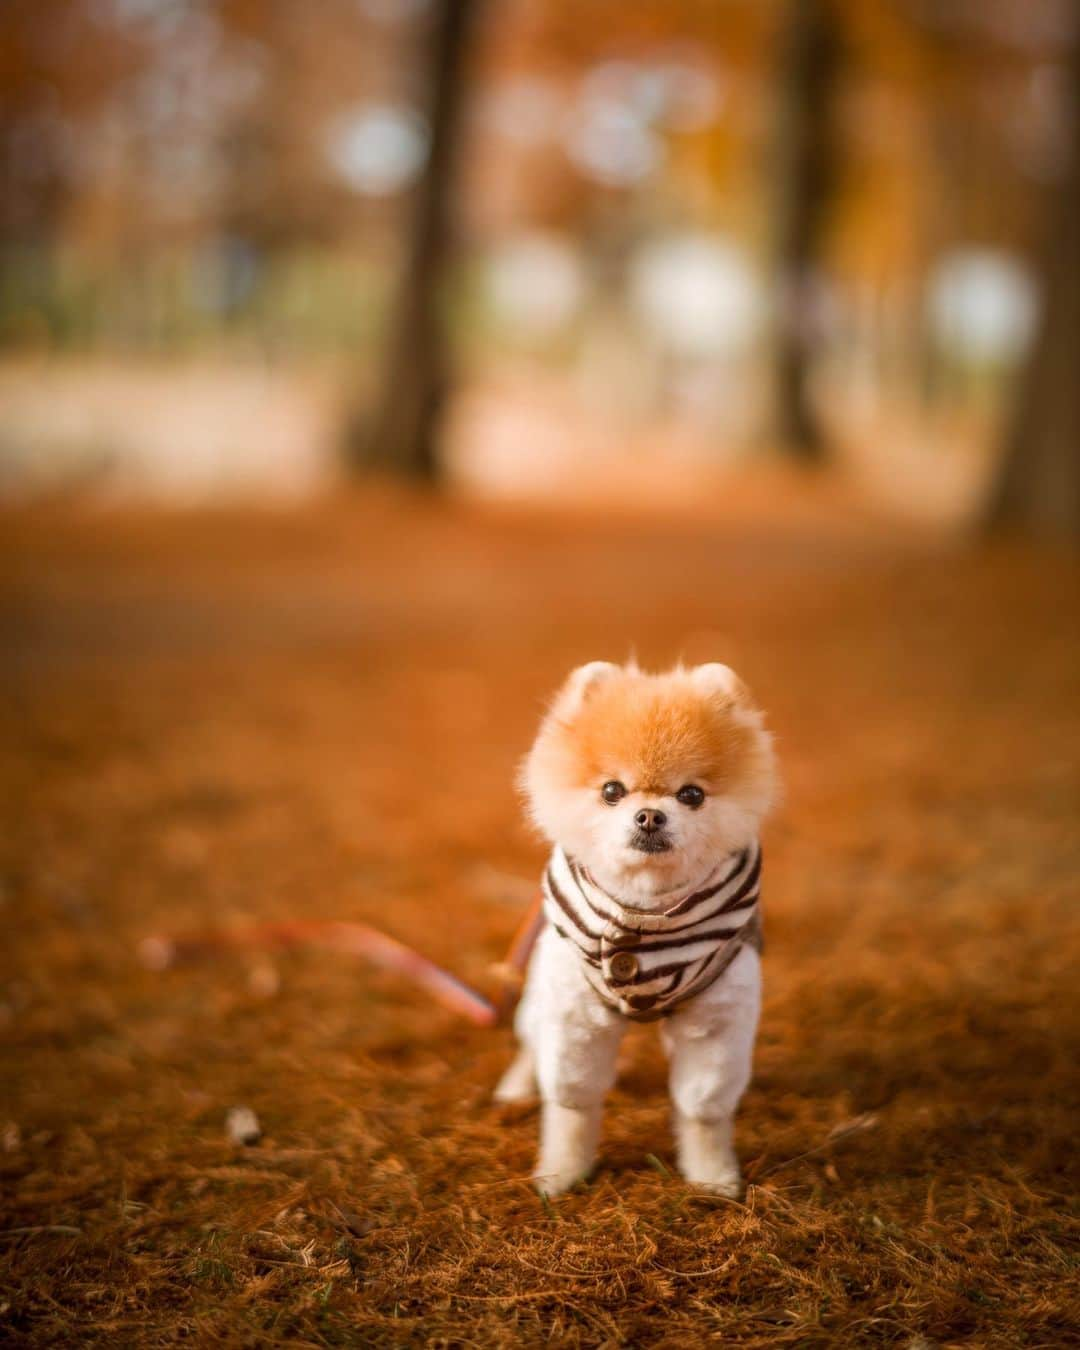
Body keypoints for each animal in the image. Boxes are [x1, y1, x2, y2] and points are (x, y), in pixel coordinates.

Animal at [496, 658, 777, 1198]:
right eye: (612, 791)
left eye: (691, 795)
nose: (649, 815)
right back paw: (516, 1087)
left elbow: (703, 1108)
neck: (647, 909)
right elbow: (572, 1104)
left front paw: (711, 1176)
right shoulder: (575, 1019)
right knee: (530, 1039)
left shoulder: (715, 1021)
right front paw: (562, 1173)